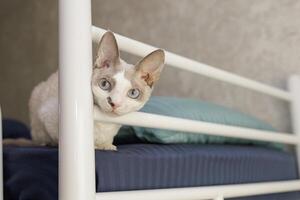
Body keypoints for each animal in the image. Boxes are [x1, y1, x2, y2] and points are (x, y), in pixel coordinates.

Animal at [4, 30, 165, 150]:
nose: (114, 103)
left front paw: (106, 145)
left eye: (133, 93)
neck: (105, 125)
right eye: (105, 84)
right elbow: (56, 137)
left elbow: (107, 142)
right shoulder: (47, 113)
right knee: (38, 138)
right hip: (37, 97)